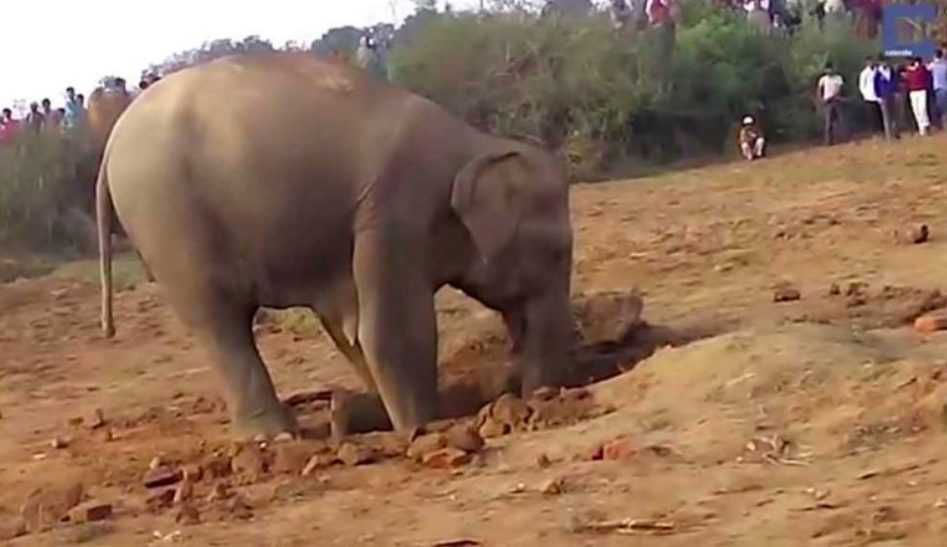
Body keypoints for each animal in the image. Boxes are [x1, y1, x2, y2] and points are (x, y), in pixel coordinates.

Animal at [94, 51, 576, 440]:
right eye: (557, 251)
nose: (539, 395)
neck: (473, 143)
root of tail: (110, 146)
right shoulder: (394, 210)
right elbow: (392, 330)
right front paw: (424, 426)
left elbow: (352, 329)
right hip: (170, 221)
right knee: (219, 323)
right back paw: (274, 437)